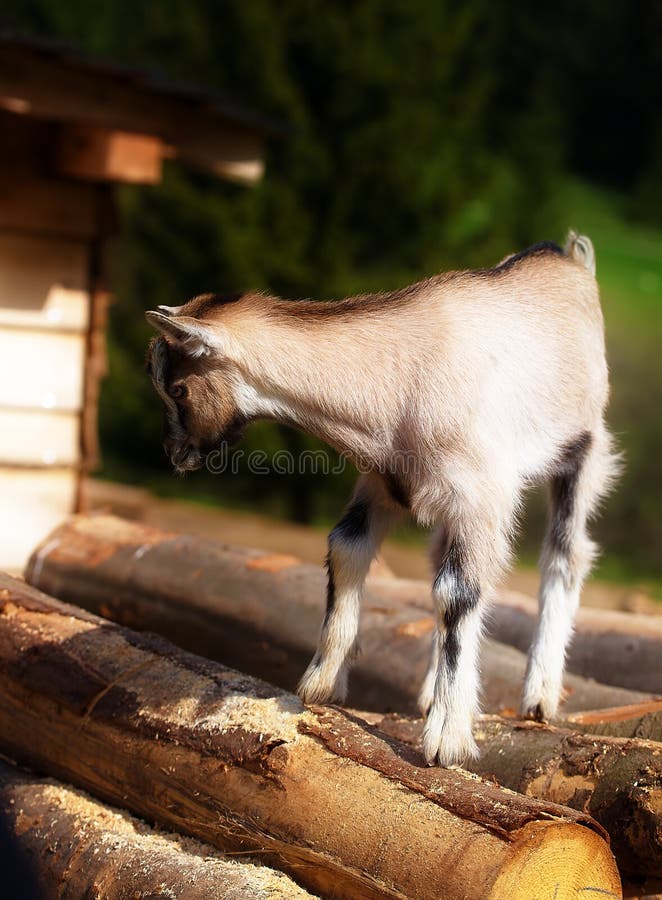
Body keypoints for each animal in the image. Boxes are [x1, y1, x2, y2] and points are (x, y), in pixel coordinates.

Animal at [145, 233, 619, 766]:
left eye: (177, 388)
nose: (175, 454)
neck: (401, 386)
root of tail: (569, 256)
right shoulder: (382, 480)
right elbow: (346, 548)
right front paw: (322, 683)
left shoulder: (481, 497)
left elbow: (459, 592)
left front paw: (448, 739)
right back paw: (433, 690)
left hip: (584, 451)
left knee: (564, 555)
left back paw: (538, 696)